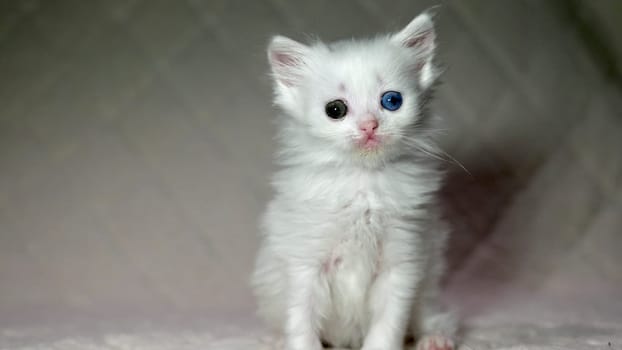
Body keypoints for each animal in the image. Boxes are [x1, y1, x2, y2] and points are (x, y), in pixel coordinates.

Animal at [252, 11, 458, 350]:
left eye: (392, 101)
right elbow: (301, 321)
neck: (364, 183)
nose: (369, 126)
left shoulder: (402, 260)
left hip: (430, 275)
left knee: (430, 314)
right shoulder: (305, 261)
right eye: (335, 109)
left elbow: (388, 325)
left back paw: (435, 338)